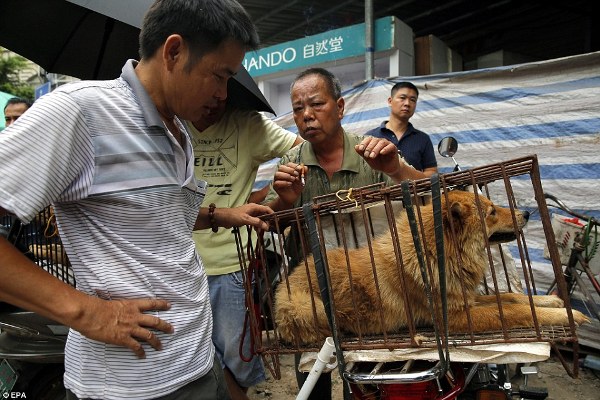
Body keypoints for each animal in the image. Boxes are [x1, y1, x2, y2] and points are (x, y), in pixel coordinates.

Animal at [274, 191, 592, 344]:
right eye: (491, 212)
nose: (525, 213)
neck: (438, 256)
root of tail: (286, 281)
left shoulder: (465, 298)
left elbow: (512, 297)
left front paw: (550, 301)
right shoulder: (454, 317)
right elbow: (516, 311)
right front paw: (568, 314)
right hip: (306, 306)